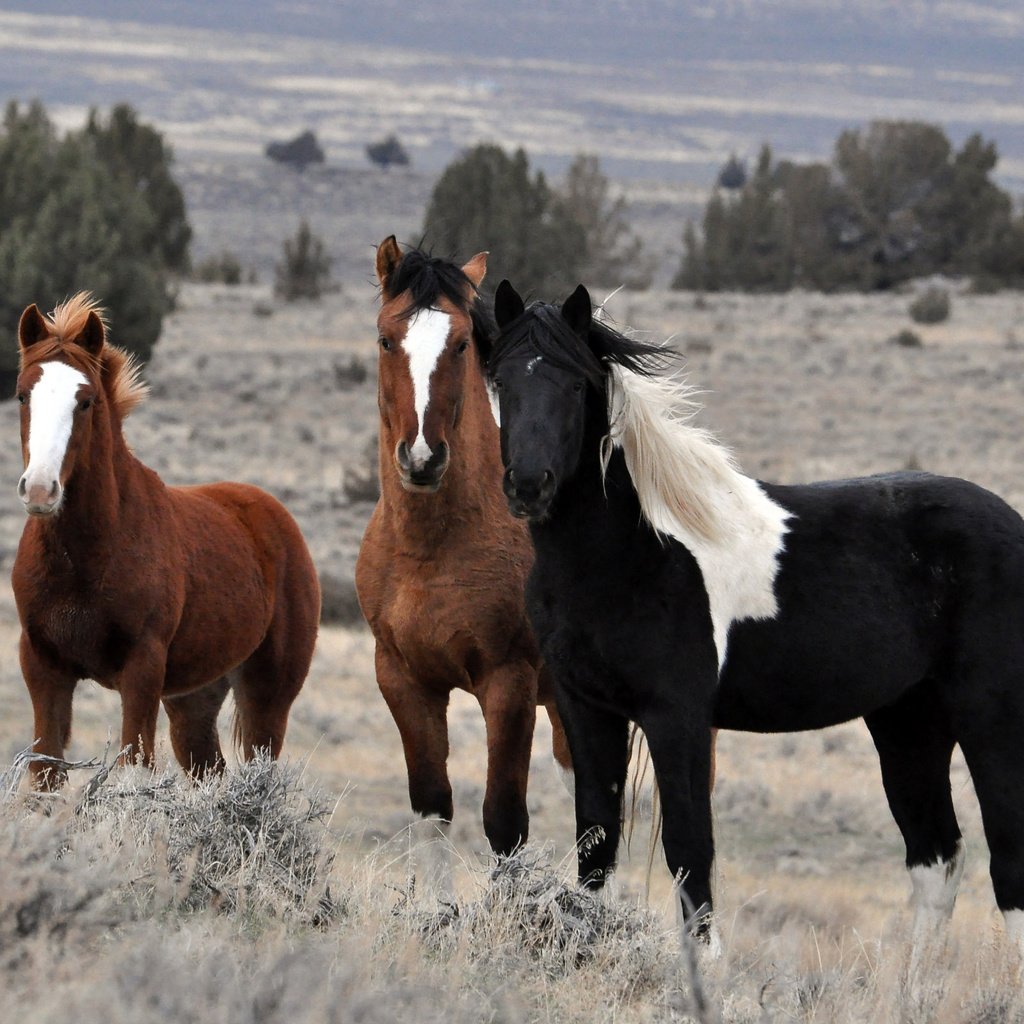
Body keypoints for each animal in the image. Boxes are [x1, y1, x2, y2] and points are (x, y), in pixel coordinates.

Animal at [9, 296, 317, 790]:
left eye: (85, 401)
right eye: (23, 395)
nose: (40, 490)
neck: (85, 557)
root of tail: (275, 516)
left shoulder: (142, 670)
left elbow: (133, 768)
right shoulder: (43, 667)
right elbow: (44, 774)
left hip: (267, 696)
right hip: (193, 700)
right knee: (210, 769)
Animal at [356, 235, 573, 868]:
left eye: (458, 344)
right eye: (386, 338)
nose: (422, 457)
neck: (430, 551)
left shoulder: (508, 684)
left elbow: (504, 824)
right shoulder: (405, 680)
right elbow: (433, 809)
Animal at [485, 276, 1024, 946]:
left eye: (575, 384)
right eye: (501, 380)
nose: (529, 484)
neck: (632, 552)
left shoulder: (677, 718)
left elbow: (691, 858)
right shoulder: (586, 710)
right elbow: (596, 852)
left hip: (989, 718)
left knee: (1008, 863)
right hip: (908, 720)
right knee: (936, 859)